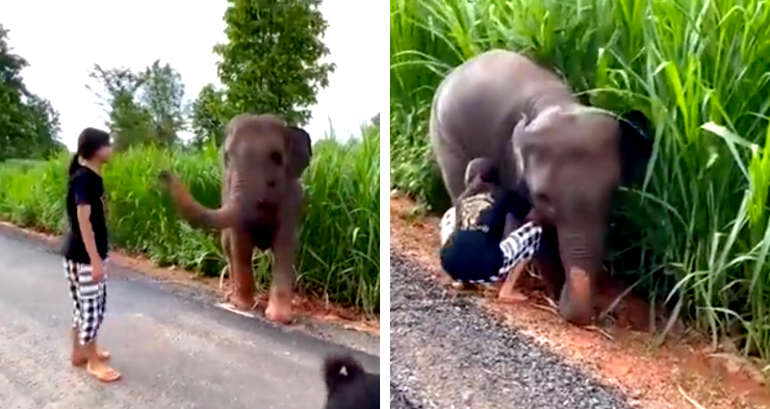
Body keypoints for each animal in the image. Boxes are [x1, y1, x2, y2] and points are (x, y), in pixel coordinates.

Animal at [160, 113, 310, 324]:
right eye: (228, 157)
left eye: (276, 158)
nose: (162, 173)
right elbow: (241, 244)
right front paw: (242, 306)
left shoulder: (292, 200)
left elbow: (284, 245)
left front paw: (279, 318)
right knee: (227, 245)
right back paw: (231, 297)